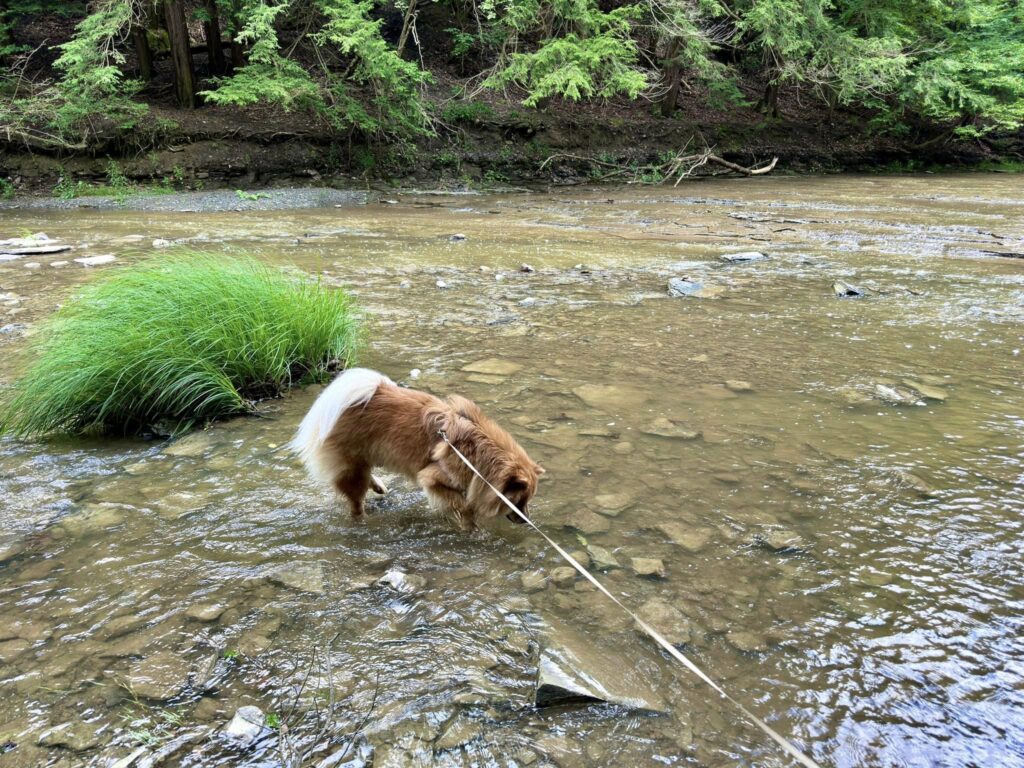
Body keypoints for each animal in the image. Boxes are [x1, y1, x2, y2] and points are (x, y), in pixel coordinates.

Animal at [290, 370, 544, 528]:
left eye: (527, 500)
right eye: (518, 502)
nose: (527, 520)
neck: (477, 452)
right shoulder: (432, 477)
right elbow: (465, 505)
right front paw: (470, 525)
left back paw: (379, 486)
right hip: (352, 466)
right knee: (355, 502)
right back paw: (364, 519)